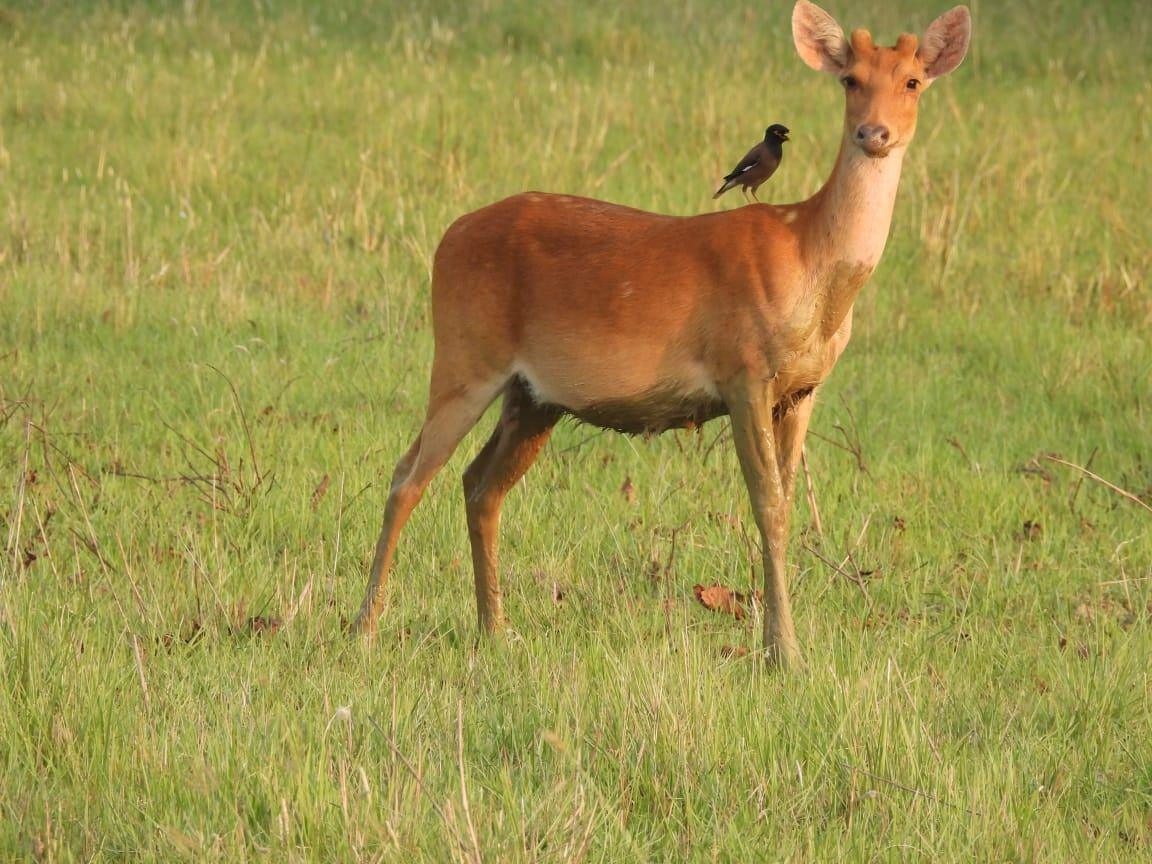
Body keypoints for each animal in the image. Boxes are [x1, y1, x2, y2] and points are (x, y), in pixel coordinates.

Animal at [351, 2, 971, 668]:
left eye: (913, 81)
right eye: (850, 80)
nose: (874, 134)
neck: (814, 265)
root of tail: (447, 238)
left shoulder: (803, 389)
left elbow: (787, 503)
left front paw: (780, 644)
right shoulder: (743, 369)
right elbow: (768, 506)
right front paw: (786, 654)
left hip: (533, 395)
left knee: (479, 484)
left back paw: (496, 629)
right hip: (464, 357)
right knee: (407, 476)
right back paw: (364, 628)